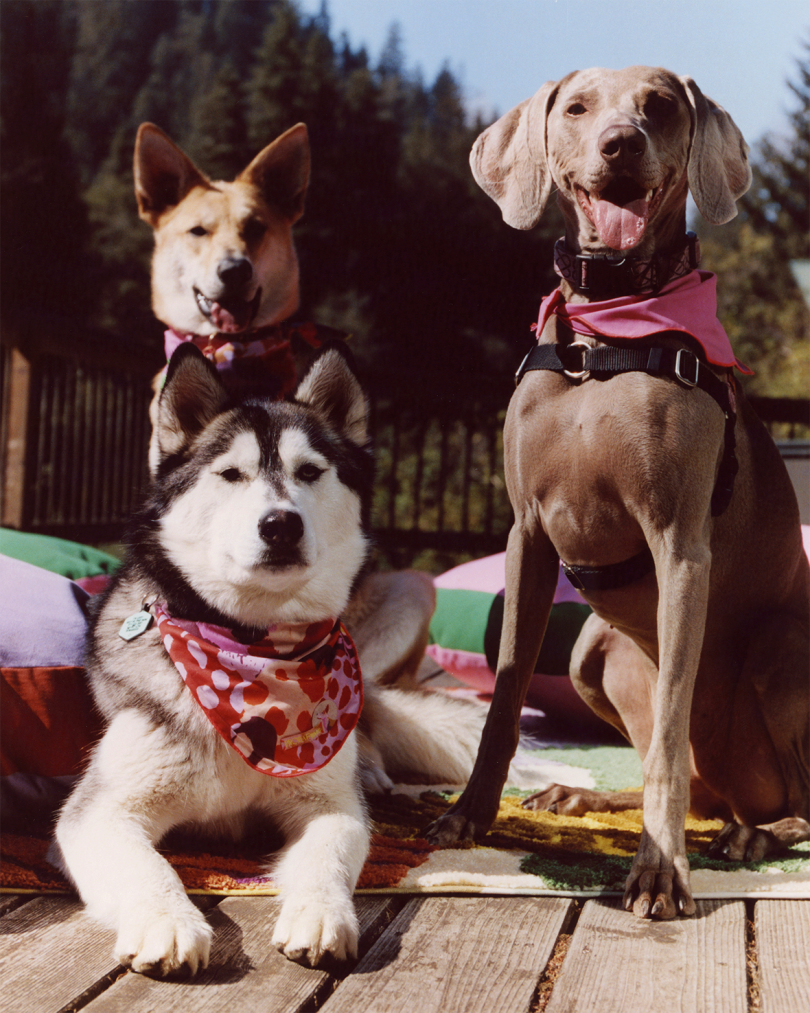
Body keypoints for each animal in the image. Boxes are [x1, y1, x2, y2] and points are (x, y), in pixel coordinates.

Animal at [427, 63, 810, 919]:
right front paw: (470, 812)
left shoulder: (681, 545)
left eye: (660, 105)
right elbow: (506, 693)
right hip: (590, 652)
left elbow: (668, 724)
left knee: (778, 794)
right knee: (691, 783)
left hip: (780, 649)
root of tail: (741, 791)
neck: (609, 325)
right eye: (576, 108)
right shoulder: (527, 534)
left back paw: (757, 836)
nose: (620, 144)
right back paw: (590, 799)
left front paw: (660, 871)